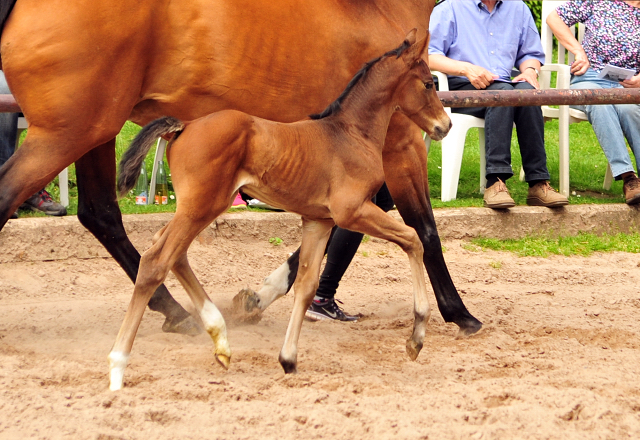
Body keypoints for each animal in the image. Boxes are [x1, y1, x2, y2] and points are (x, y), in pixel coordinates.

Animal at [0, 0, 480, 336]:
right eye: (428, 83)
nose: (445, 126)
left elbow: (340, 229)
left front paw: (259, 297)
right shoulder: (401, 145)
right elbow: (424, 229)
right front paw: (460, 314)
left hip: (96, 131)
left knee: (101, 214)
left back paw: (176, 312)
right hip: (67, 134)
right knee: (14, 199)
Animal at [110, 30, 450, 388]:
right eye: (429, 83)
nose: (445, 126)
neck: (350, 133)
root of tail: (185, 125)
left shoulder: (319, 221)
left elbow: (305, 286)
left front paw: (288, 360)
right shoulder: (353, 211)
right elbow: (413, 238)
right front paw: (416, 338)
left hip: (199, 208)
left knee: (173, 253)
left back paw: (221, 341)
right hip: (201, 206)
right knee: (156, 261)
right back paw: (118, 366)